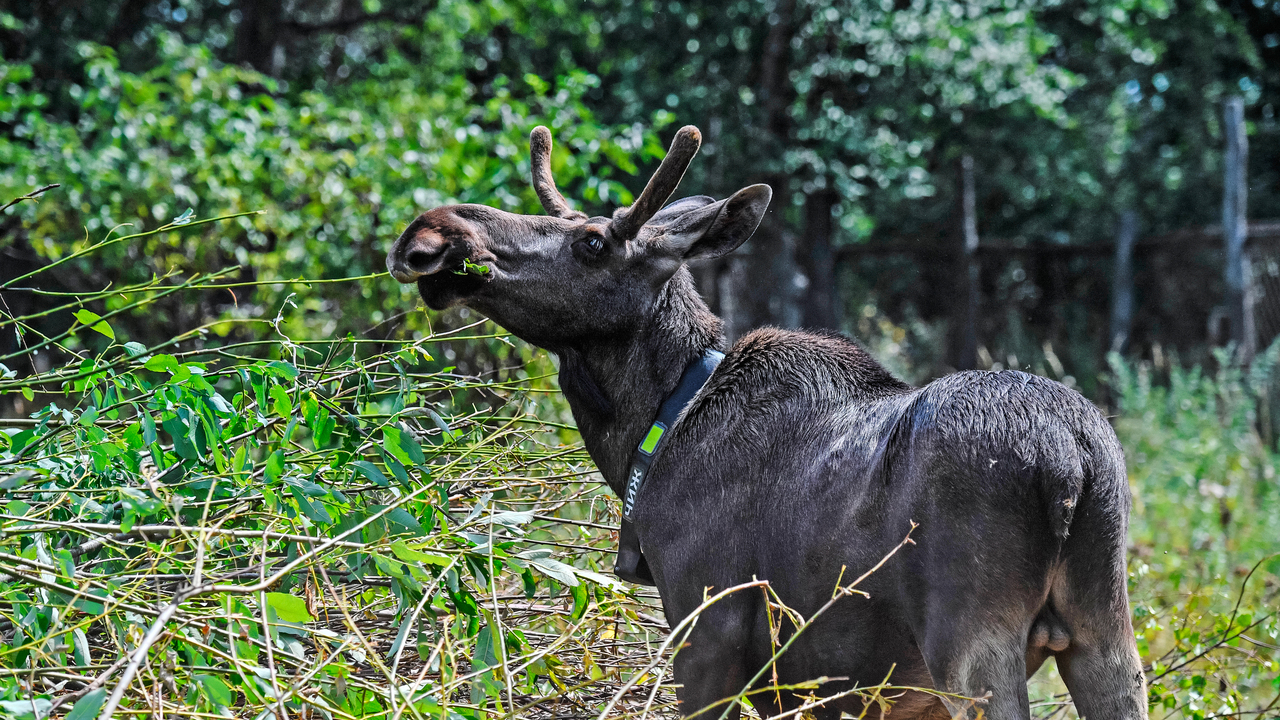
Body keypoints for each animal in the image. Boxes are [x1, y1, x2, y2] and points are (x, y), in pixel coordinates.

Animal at [381, 127, 1152, 717]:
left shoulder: (708, 632)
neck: (646, 434)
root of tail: (1072, 466)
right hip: (1106, 636)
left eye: (593, 243)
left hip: (972, 645)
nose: (434, 232)